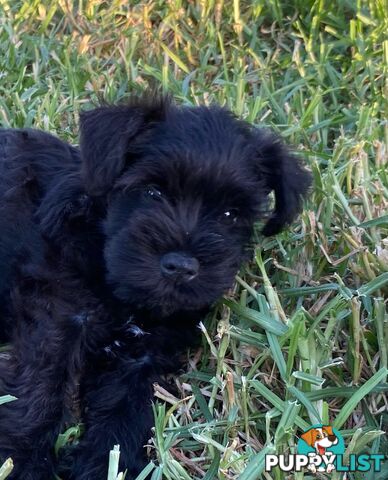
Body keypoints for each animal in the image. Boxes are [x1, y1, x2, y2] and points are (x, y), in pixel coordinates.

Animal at [0, 95, 310, 478]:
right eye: (152, 192)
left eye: (230, 215)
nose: (181, 267)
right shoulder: (58, 322)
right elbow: (38, 393)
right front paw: (23, 463)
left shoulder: (144, 356)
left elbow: (124, 413)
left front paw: (105, 465)